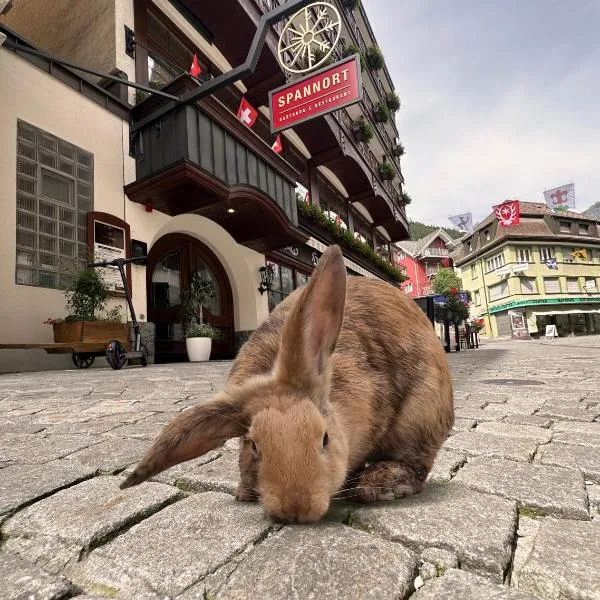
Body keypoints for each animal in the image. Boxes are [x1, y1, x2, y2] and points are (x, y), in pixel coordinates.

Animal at [119, 244, 452, 520]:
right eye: (254, 444)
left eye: (325, 438)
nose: (296, 508)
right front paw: (245, 492)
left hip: (421, 413)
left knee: (417, 463)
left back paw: (375, 483)